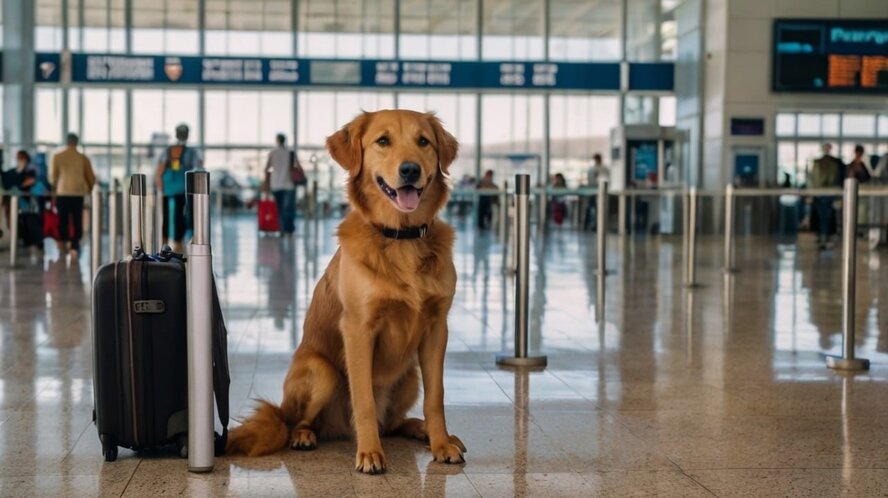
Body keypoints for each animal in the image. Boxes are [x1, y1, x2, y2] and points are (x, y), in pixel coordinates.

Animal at [225, 110, 464, 474]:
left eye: (424, 141)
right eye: (383, 141)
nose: (410, 170)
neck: (401, 237)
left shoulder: (437, 328)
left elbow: (435, 398)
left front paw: (441, 444)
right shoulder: (358, 328)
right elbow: (363, 399)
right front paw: (370, 453)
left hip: (409, 375)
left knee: (393, 423)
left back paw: (420, 429)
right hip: (321, 373)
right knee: (299, 422)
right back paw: (305, 436)